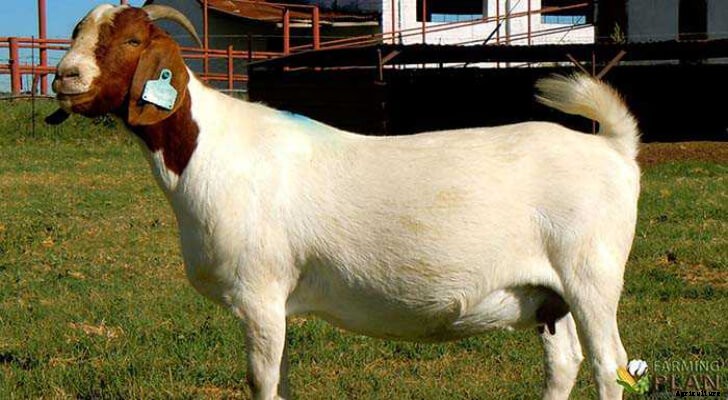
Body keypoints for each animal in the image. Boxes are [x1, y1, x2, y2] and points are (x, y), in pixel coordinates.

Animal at [50, 5, 641, 400]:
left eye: (132, 41)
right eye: (77, 31)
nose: (64, 76)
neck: (210, 150)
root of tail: (614, 146)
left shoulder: (259, 294)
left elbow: (261, 382)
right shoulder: (278, 304)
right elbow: (280, 380)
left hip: (591, 275)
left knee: (610, 367)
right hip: (549, 295)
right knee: (564, 364)